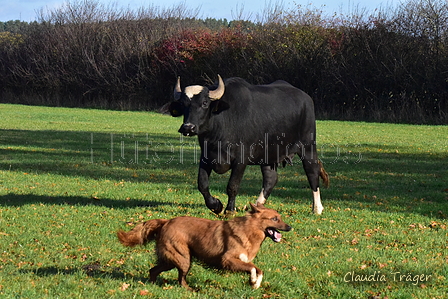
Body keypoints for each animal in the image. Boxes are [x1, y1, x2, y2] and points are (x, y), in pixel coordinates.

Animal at [116, 204, 290, 290]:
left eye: (280, 218)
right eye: (275, 219)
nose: (290, 227)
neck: (249, 229)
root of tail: (166, 221)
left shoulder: (242, 260)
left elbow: (258, 269)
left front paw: (255, 283)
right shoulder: (227, 260)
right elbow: (253, 268)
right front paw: (253, 281)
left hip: (170, 260)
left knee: (154, 270)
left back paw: (151, 285)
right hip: (183, 258)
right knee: (181, 279)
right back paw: (190, 290)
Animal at [169, 76, 328, 214]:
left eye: (204, 103)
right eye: (183, 105)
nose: (188, 127)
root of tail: (306, 98)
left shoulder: (241, 160)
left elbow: (232, 185)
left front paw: (229, 210)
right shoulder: (206, 157)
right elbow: (202, 184)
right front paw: (216, 205)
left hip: (308, 147)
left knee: (312, 172)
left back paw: (317, 208)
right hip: (268, 155)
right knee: (270, 178)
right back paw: (258, 206)